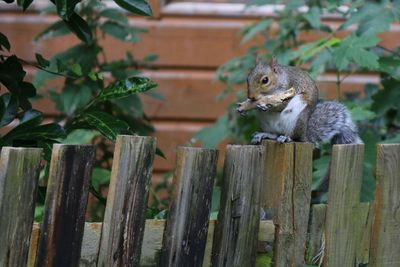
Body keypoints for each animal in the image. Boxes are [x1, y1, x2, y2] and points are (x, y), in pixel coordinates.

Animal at [238, 56, 362, 198]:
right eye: (247, 78)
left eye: (265, 80)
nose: (251, 97)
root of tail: (305, 136)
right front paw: (243, 107)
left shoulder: (290, 89)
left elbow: (280, 105)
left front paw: (263, 104)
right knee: (275, 134)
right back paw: (265, 134)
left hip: (296, 118)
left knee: (294, 136)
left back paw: (286, 138)